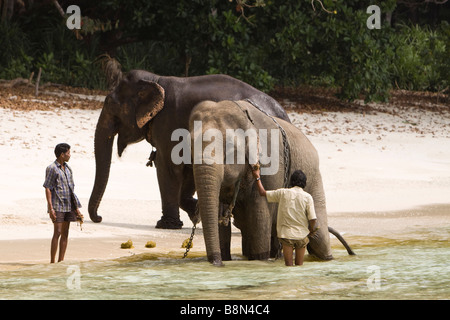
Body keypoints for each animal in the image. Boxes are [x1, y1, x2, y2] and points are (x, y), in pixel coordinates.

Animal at [88, 70, 290, 230]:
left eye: (111, 105)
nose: (99, 218)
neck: (155, 79)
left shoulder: (168, 123)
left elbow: (168, 167)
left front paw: (167, 225)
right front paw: (197, 214)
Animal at [188, 99, 354, 264]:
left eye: (229, 148)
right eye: (190, 147)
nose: (217, 263)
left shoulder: (271, 167)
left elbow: (259, 220)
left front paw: (259, 260)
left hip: (315, 181)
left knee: (319, 239)